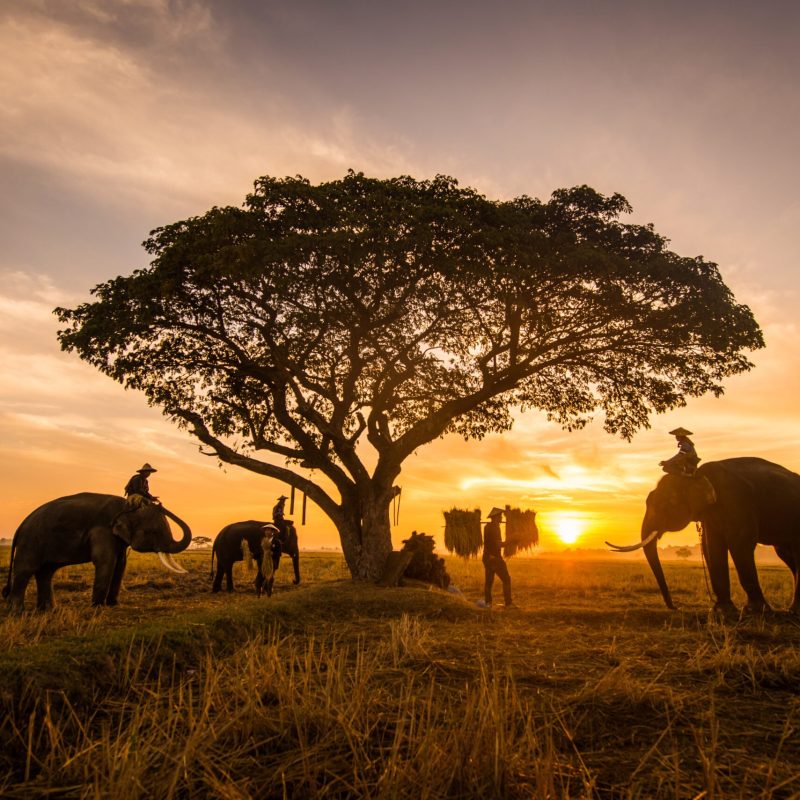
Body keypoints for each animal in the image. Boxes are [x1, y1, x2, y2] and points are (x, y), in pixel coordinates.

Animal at [2, 493, 192, 613]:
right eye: (153, 532)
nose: (158, 503)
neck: (126, 507)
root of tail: (21, 525)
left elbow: (120, 564)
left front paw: (114, 605)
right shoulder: (103, 530)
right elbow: (106, 561)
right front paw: (98, 607)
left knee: (46, 572)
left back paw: (49, 610)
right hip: (30, 542)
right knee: (25, 570)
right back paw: (17, 612)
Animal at [607, 457, 800, 615]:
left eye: (667, 504)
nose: (676, 607)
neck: (694, 473)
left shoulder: (738, 501)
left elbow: (740, 545)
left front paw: (755, 610)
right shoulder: (712, 515)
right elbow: (712, 547)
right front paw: (723, 610)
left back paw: (792, 611)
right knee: (787, 555)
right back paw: (791, 610)